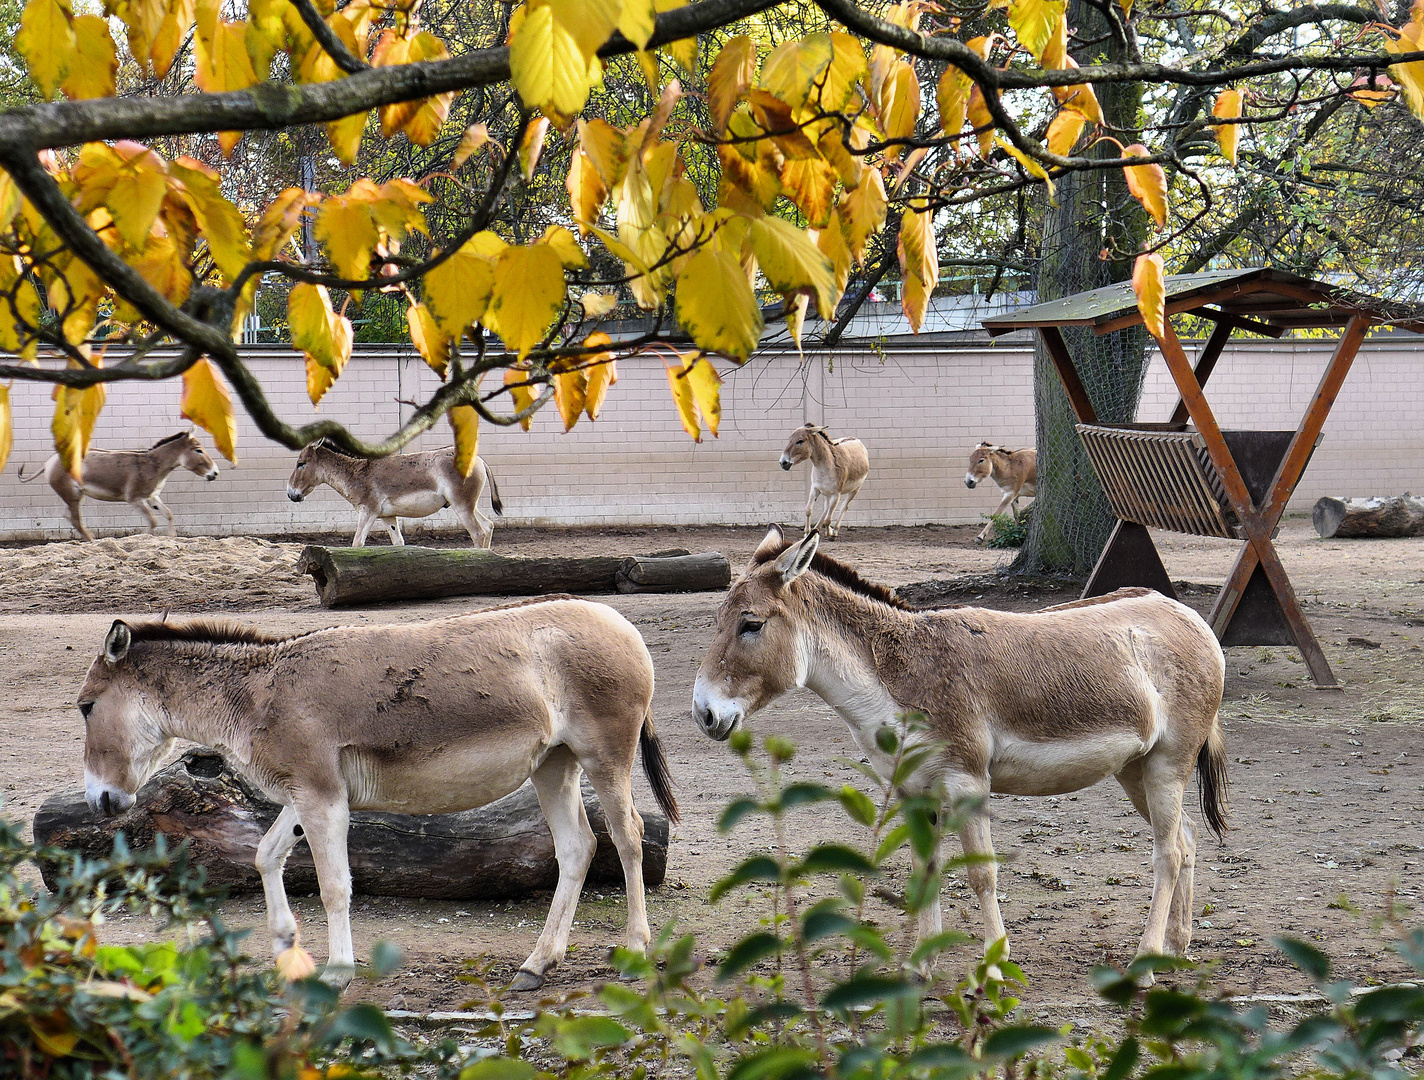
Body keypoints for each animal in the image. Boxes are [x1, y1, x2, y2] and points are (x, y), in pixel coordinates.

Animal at [20, 433, 219, 541]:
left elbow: (169, 514)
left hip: (73, 495)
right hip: (73, 496)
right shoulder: (136, 499)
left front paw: (171, 539)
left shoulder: (152, 496)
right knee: (76, 519)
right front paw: (142, 540)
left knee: (69, 516)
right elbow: (153, 521)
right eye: (198, 450)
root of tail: (49, 461)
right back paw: (93, 542)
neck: (153, 464)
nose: (215, 473)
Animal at [77, 604, 677, 991]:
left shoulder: (322, 797)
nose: (100, 802)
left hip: (605, 755)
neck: (260, 696)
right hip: (554, 764)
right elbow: (266, 855)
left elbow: (335, 886)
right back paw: (537, 965)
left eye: (86, 707)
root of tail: (623, 623)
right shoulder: (308, 794)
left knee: (628, 838)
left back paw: (635, 950)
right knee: (578, 847)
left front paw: (338, 970)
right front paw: (286, 950)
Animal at [286, 441, 504, 549]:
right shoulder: (387, 516)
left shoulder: (367, 511)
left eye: (301, 463)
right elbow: (398, 543)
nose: (290, 494)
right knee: (488, 526)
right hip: (468, 505)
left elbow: (357, 543)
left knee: (478, 533)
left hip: (462, 505)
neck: (356, 473)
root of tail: (479, 459)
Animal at [689, 530, 1224, 974]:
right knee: (1187, 838)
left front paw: (994, 968)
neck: (899, 678)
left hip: (1168, 763)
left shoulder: (967, 781)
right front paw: (917, 968)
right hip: (1134, 768)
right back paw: (1177, 947)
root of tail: (1185, 613)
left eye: (750, 625)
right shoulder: (912, 791)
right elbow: (922, 874)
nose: (704, 714)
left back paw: (1146, 960)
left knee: (1168, 853)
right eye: (714, 621)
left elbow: (982, 875)